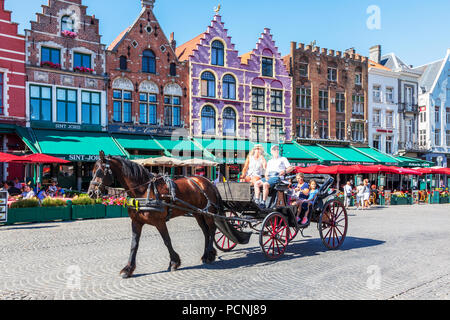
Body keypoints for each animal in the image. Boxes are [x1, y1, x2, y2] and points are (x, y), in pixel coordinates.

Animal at [87, 151, 222, 278]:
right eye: (92, 171)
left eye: (99, 172)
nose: (90, 193)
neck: (144, 190)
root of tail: (208, 181)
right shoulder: (136, 222)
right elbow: (134, 244)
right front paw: (128, 269)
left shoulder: (159, 222)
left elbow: (167, 240)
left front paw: (174, 262)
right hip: (198, 213)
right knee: (205, 231)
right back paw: (206, 255)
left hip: (208, 212)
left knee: (211, 229)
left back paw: (209, 255)